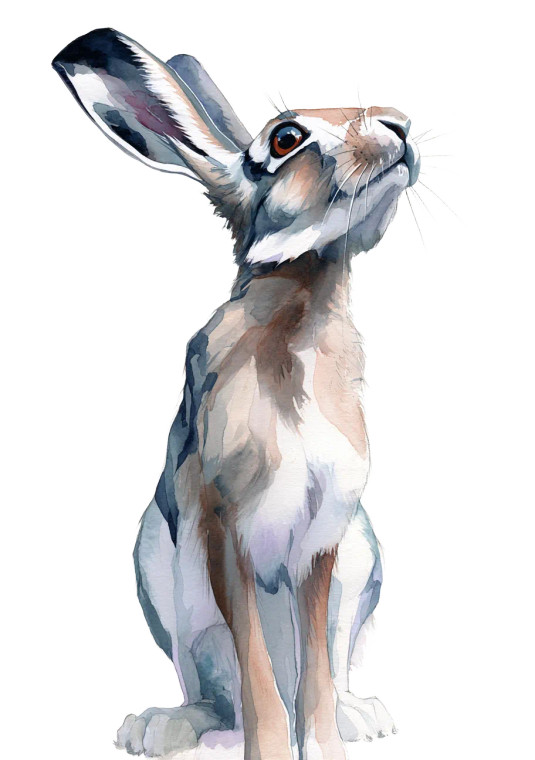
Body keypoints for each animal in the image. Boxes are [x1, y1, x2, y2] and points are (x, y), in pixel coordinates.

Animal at [52, 28, 420, 760]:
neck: (300, 317)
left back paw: (362, 716)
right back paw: (159, 727)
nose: (400, 125)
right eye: (284, 138)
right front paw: (275, 750)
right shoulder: (227, 525)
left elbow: (314, 667)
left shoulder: (323, 537)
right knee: (215, 688)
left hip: (362, 558)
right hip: (165, 580)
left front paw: (324, 745)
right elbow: (256, 670)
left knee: (331, 661)